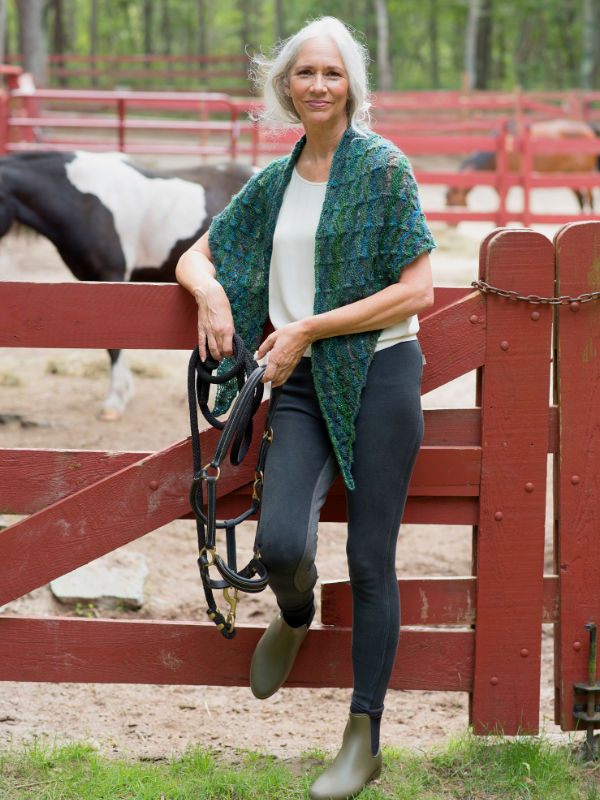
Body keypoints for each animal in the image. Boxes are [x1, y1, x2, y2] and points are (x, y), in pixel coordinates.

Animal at [446, 119, 600, 212]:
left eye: (451, 200)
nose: (450, 226)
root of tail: (588, 128)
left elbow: (503, 203)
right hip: (569, 173)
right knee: (581, 199)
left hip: (584, 172)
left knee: (590, 199)